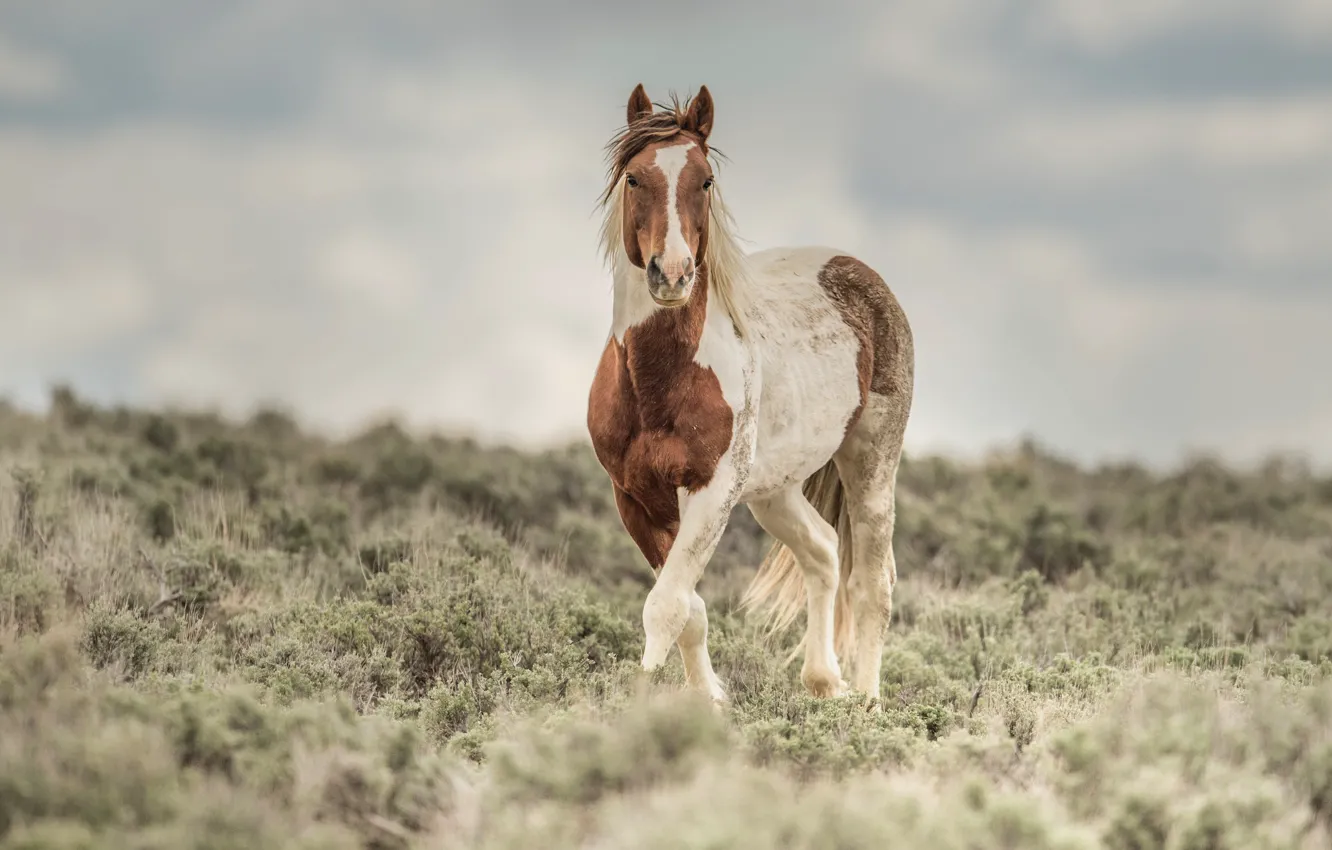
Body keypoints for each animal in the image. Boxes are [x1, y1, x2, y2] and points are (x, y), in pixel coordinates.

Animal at [586, 83, 914, 707]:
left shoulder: (712, 490)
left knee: (871, 583)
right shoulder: (633, 498)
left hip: (871, 464)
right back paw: (823, 680)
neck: (656, 383)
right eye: (635, 178)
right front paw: (708, 699)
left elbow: (666, 606)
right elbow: (688, 608)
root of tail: (861, 274)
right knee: (823, 550)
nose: (672, 274)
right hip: (774, 489)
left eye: (705, 181)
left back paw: (866, 700)